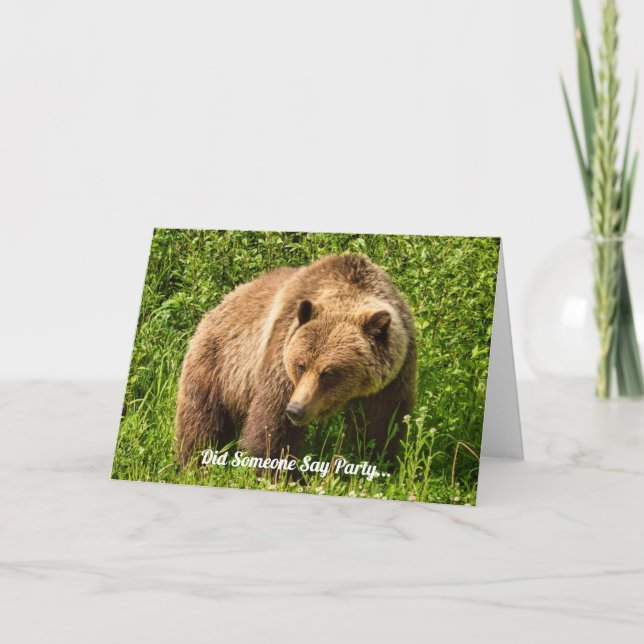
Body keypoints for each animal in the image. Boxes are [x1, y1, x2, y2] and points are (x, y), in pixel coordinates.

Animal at [174, 253, 417, 467]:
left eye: (329, 373)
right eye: (301, 365)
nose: (296, 410)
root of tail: (220, 304)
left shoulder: (393, 376)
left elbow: (382, 423)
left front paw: (377, 459)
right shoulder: (282, 352)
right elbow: (272, 421)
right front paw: (280, 471)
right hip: (219, 363)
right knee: (202, 418)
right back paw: (194, 462)